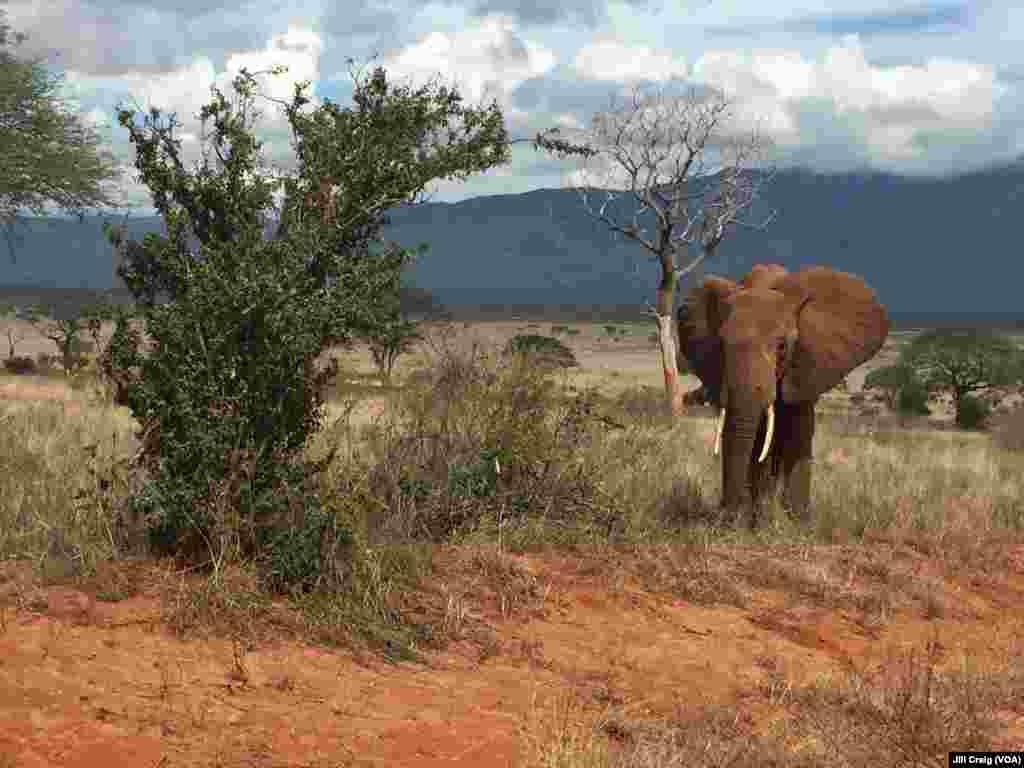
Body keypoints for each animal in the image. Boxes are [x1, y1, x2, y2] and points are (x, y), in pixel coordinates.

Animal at [679, 266, 888, 528]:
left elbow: (789, 436)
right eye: (721, 345)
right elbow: (753, 441)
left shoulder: (805, 366)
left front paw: (788, 525)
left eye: (781, 346)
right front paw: (754, 523)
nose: (725, 517)